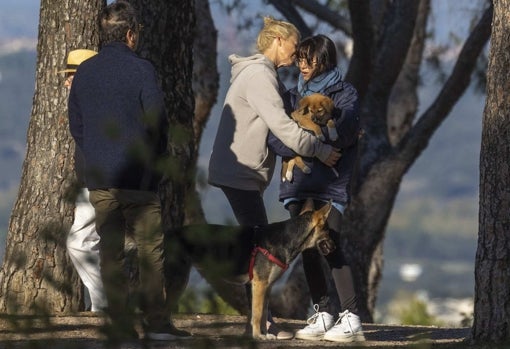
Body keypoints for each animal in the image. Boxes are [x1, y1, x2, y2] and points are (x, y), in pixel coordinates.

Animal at [163, 200, 336, 338]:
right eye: (328, 231)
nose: (335, 246)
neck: (288, 237)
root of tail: (167, 234)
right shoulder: (259, 285)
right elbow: (257, 314)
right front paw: (258, 336)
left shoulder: (266, 287)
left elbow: (262, 313)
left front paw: (263, 335)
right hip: (177, 279)